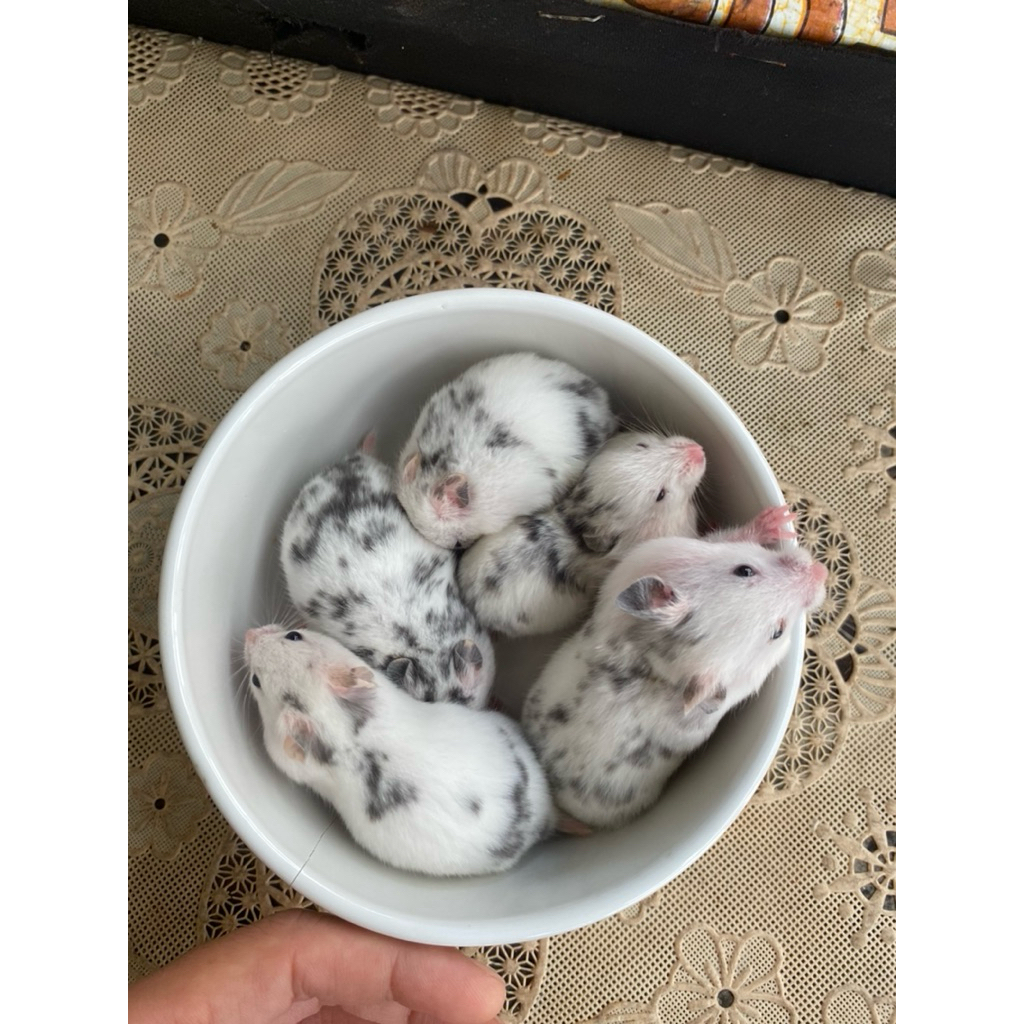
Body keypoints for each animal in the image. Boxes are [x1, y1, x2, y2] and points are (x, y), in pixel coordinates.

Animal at [520, 517, 827, 830]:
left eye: (777, 632)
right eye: (744, 570)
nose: (822, 571)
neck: (659, 660)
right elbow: (721, 537)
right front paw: (777, 518)